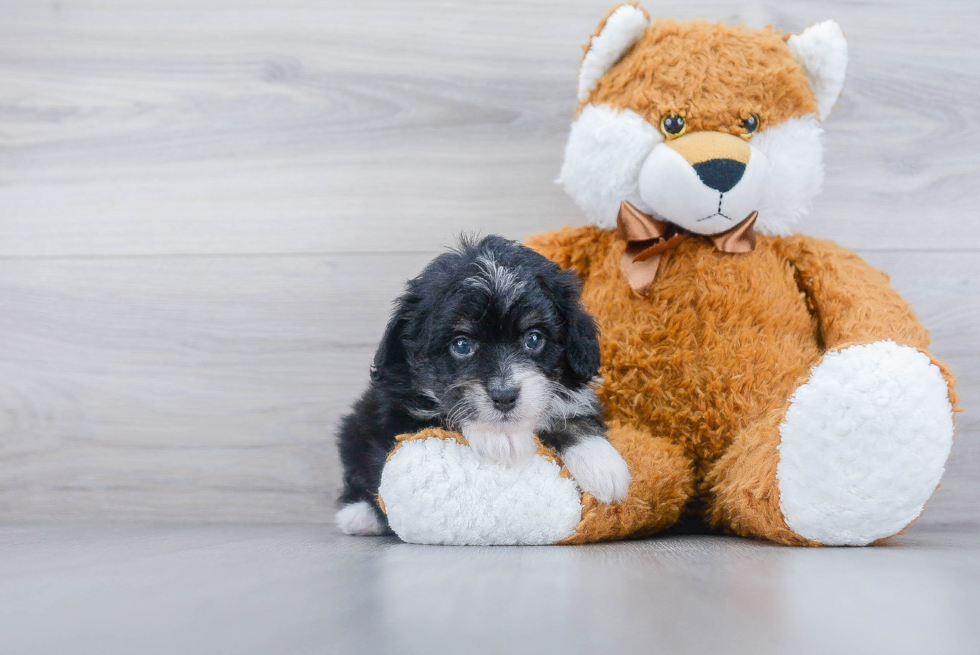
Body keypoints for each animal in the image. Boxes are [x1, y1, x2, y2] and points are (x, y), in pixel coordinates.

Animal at [334, 236, 632, 540]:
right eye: (462, 344)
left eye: (533, 339)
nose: (504, 396)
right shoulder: (398, 410)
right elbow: (444, 411)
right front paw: (498, 436)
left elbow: (574, 415)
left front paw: (604, 466)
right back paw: (359, 516)